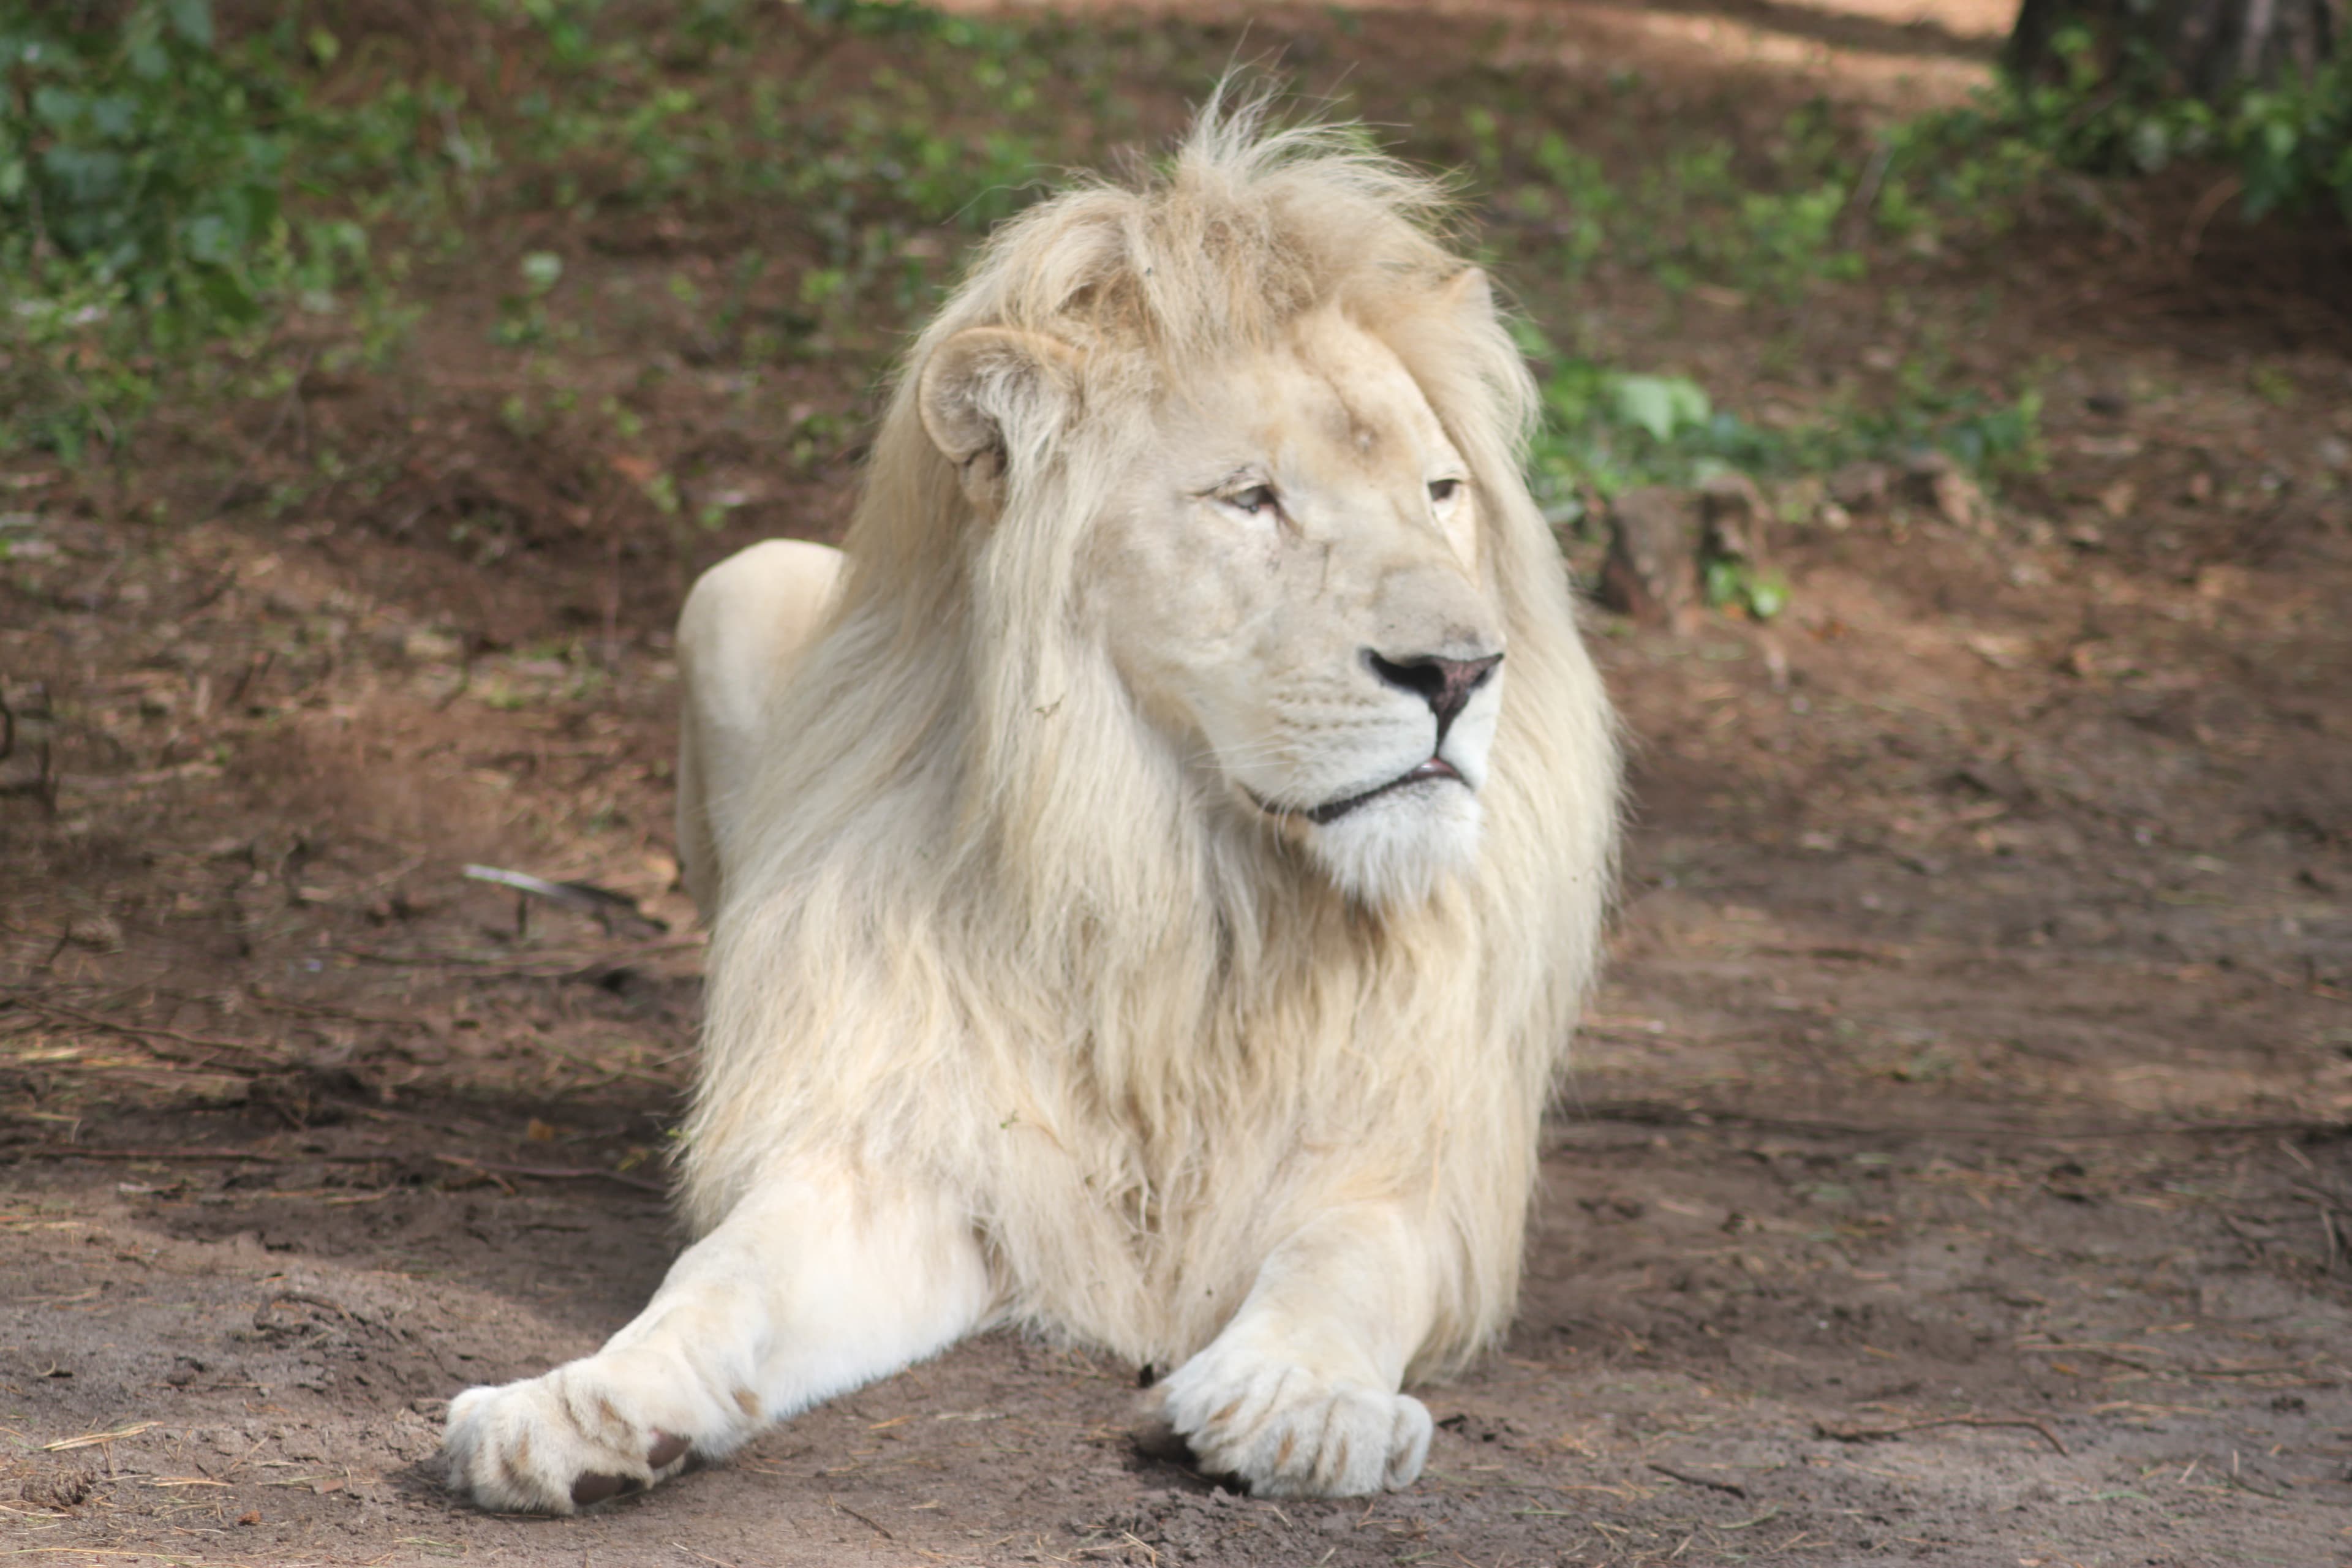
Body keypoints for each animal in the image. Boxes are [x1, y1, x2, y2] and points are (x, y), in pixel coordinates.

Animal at [442, 95, 1618, 1504]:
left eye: (1441, 494)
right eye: (1250, 499)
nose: (1459, 671)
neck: (1190, 880)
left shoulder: (1416, 1165)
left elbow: (1345, 1262)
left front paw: (1299, 1400)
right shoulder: (918, 1150)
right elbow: (725, 1271)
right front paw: (587, 1402)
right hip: (734, 583)